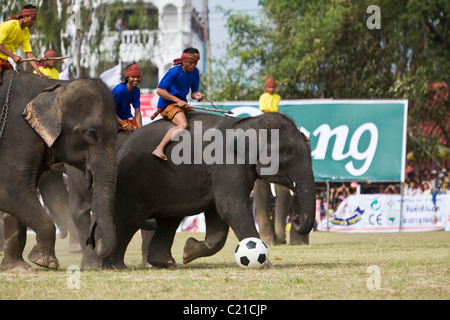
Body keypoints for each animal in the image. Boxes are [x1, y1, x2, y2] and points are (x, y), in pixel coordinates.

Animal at [0, 70, 118, 270]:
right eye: (91, 133)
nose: (96, 242)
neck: (54, 86)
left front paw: (18, 267)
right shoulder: (16, 132)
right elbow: (11, 188)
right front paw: (45, 263)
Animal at [104, 111, 316, 268]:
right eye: (288, 152)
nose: (296, 218)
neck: (249, 123)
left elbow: (218, 218)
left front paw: (188, 251)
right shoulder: (226, 164)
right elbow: (232, 207)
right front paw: (267, 265)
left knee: (169, 219)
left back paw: (167, 262)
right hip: (132, 182)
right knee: (130, 220)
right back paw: (115, 265)